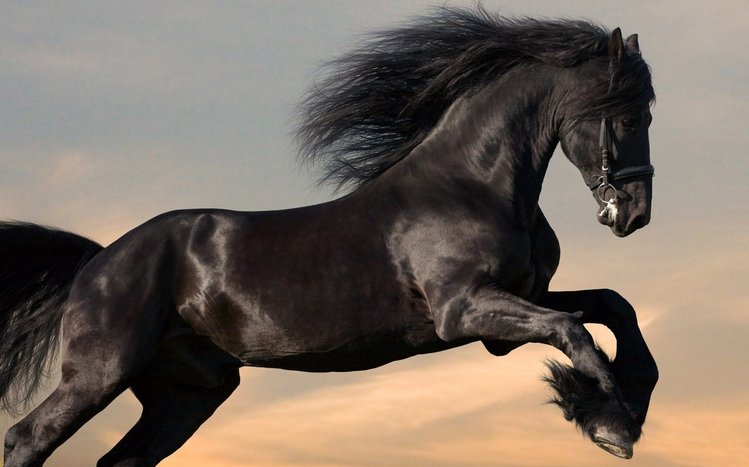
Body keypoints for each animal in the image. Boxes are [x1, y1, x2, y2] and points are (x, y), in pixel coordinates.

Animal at [0, 7, 658, 466]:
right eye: (629, 115)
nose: (634, 214)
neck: (471, 184)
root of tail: (98, 261)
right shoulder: (465, 311)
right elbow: (575, 329)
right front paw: (612, 424)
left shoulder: (514, 307)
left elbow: (612, 308)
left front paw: (623, 403)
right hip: (99, 372)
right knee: (26, 436)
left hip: (186, 395)